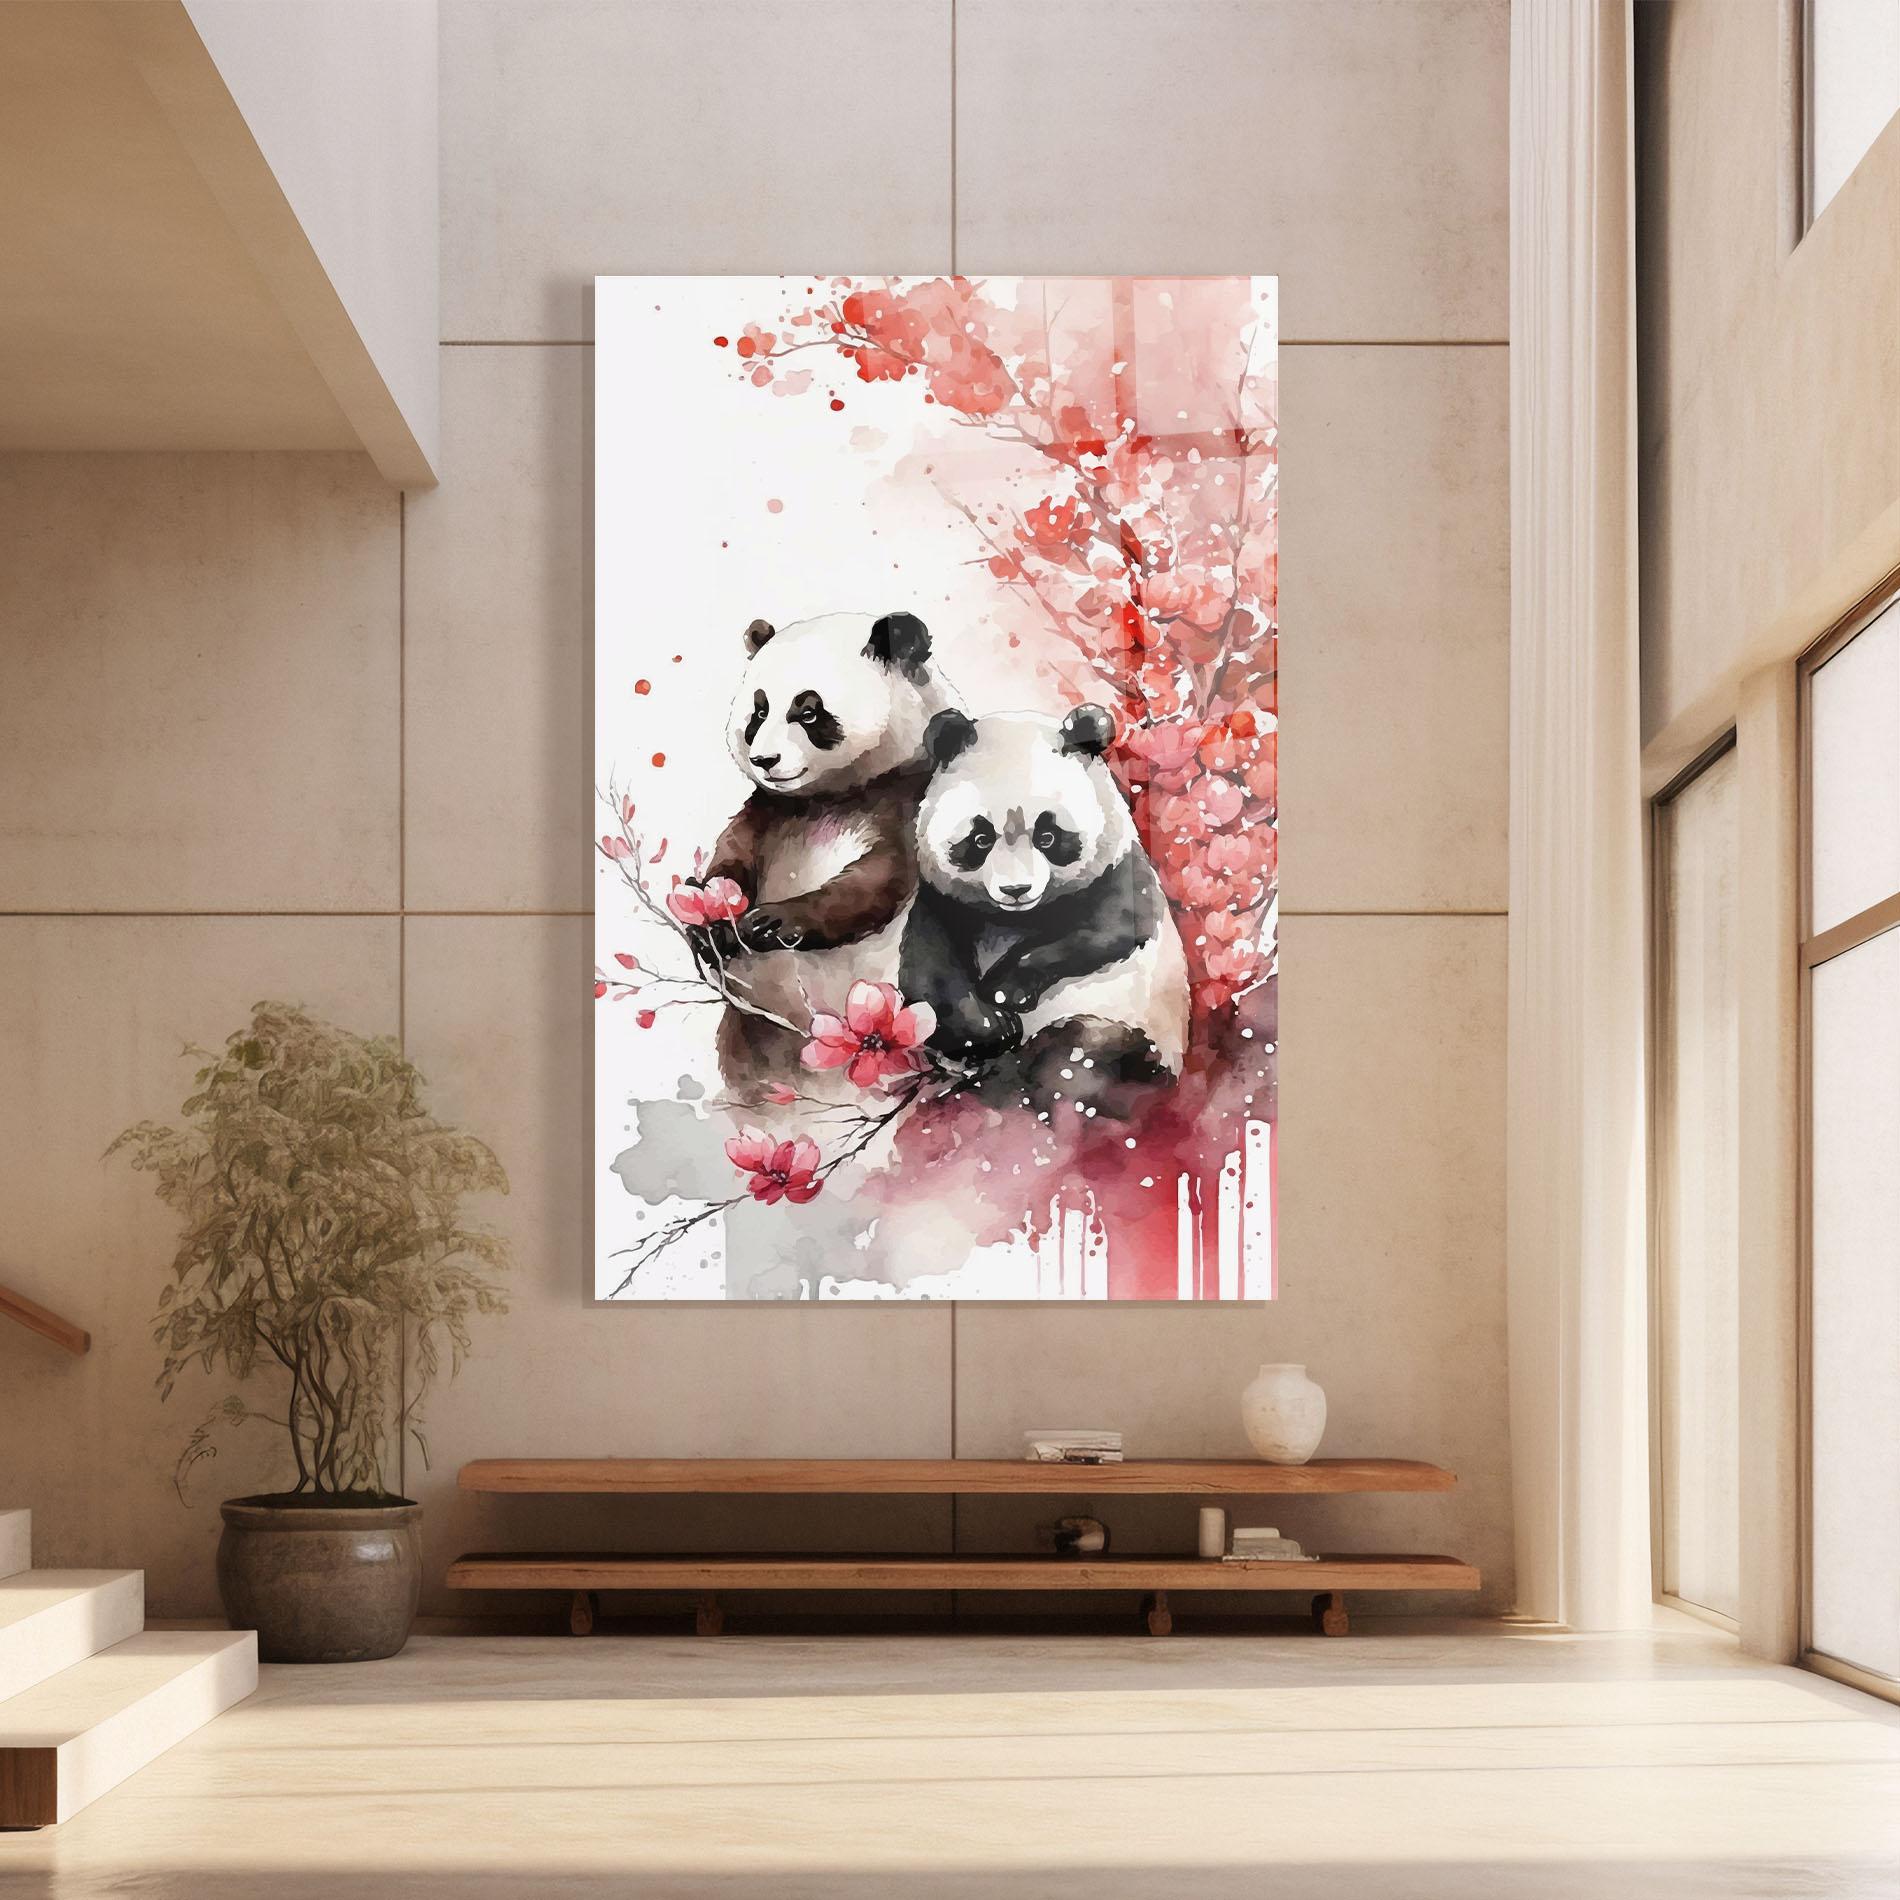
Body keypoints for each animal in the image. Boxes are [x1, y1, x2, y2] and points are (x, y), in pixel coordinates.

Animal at [684, 609, 957, 1096]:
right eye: (758, 711)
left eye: (808, 711)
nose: (765, 760)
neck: (830, 797)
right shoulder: (771, 809)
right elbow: (732, 855)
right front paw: (710, 925)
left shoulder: (909, 799)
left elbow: (876, 881)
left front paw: (772, 923)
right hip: (749, 1033)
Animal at [898, 702, 1190, 1122]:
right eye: (980, 839)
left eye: (1048, 836)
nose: (1016, 890)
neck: (1014, 917)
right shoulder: (944, 902)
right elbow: (929, 969)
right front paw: (991, 1026)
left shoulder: (1120, 875)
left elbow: (1103, 931)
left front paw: (1003, 990)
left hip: (1130, 1035)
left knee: (1075, 1053)